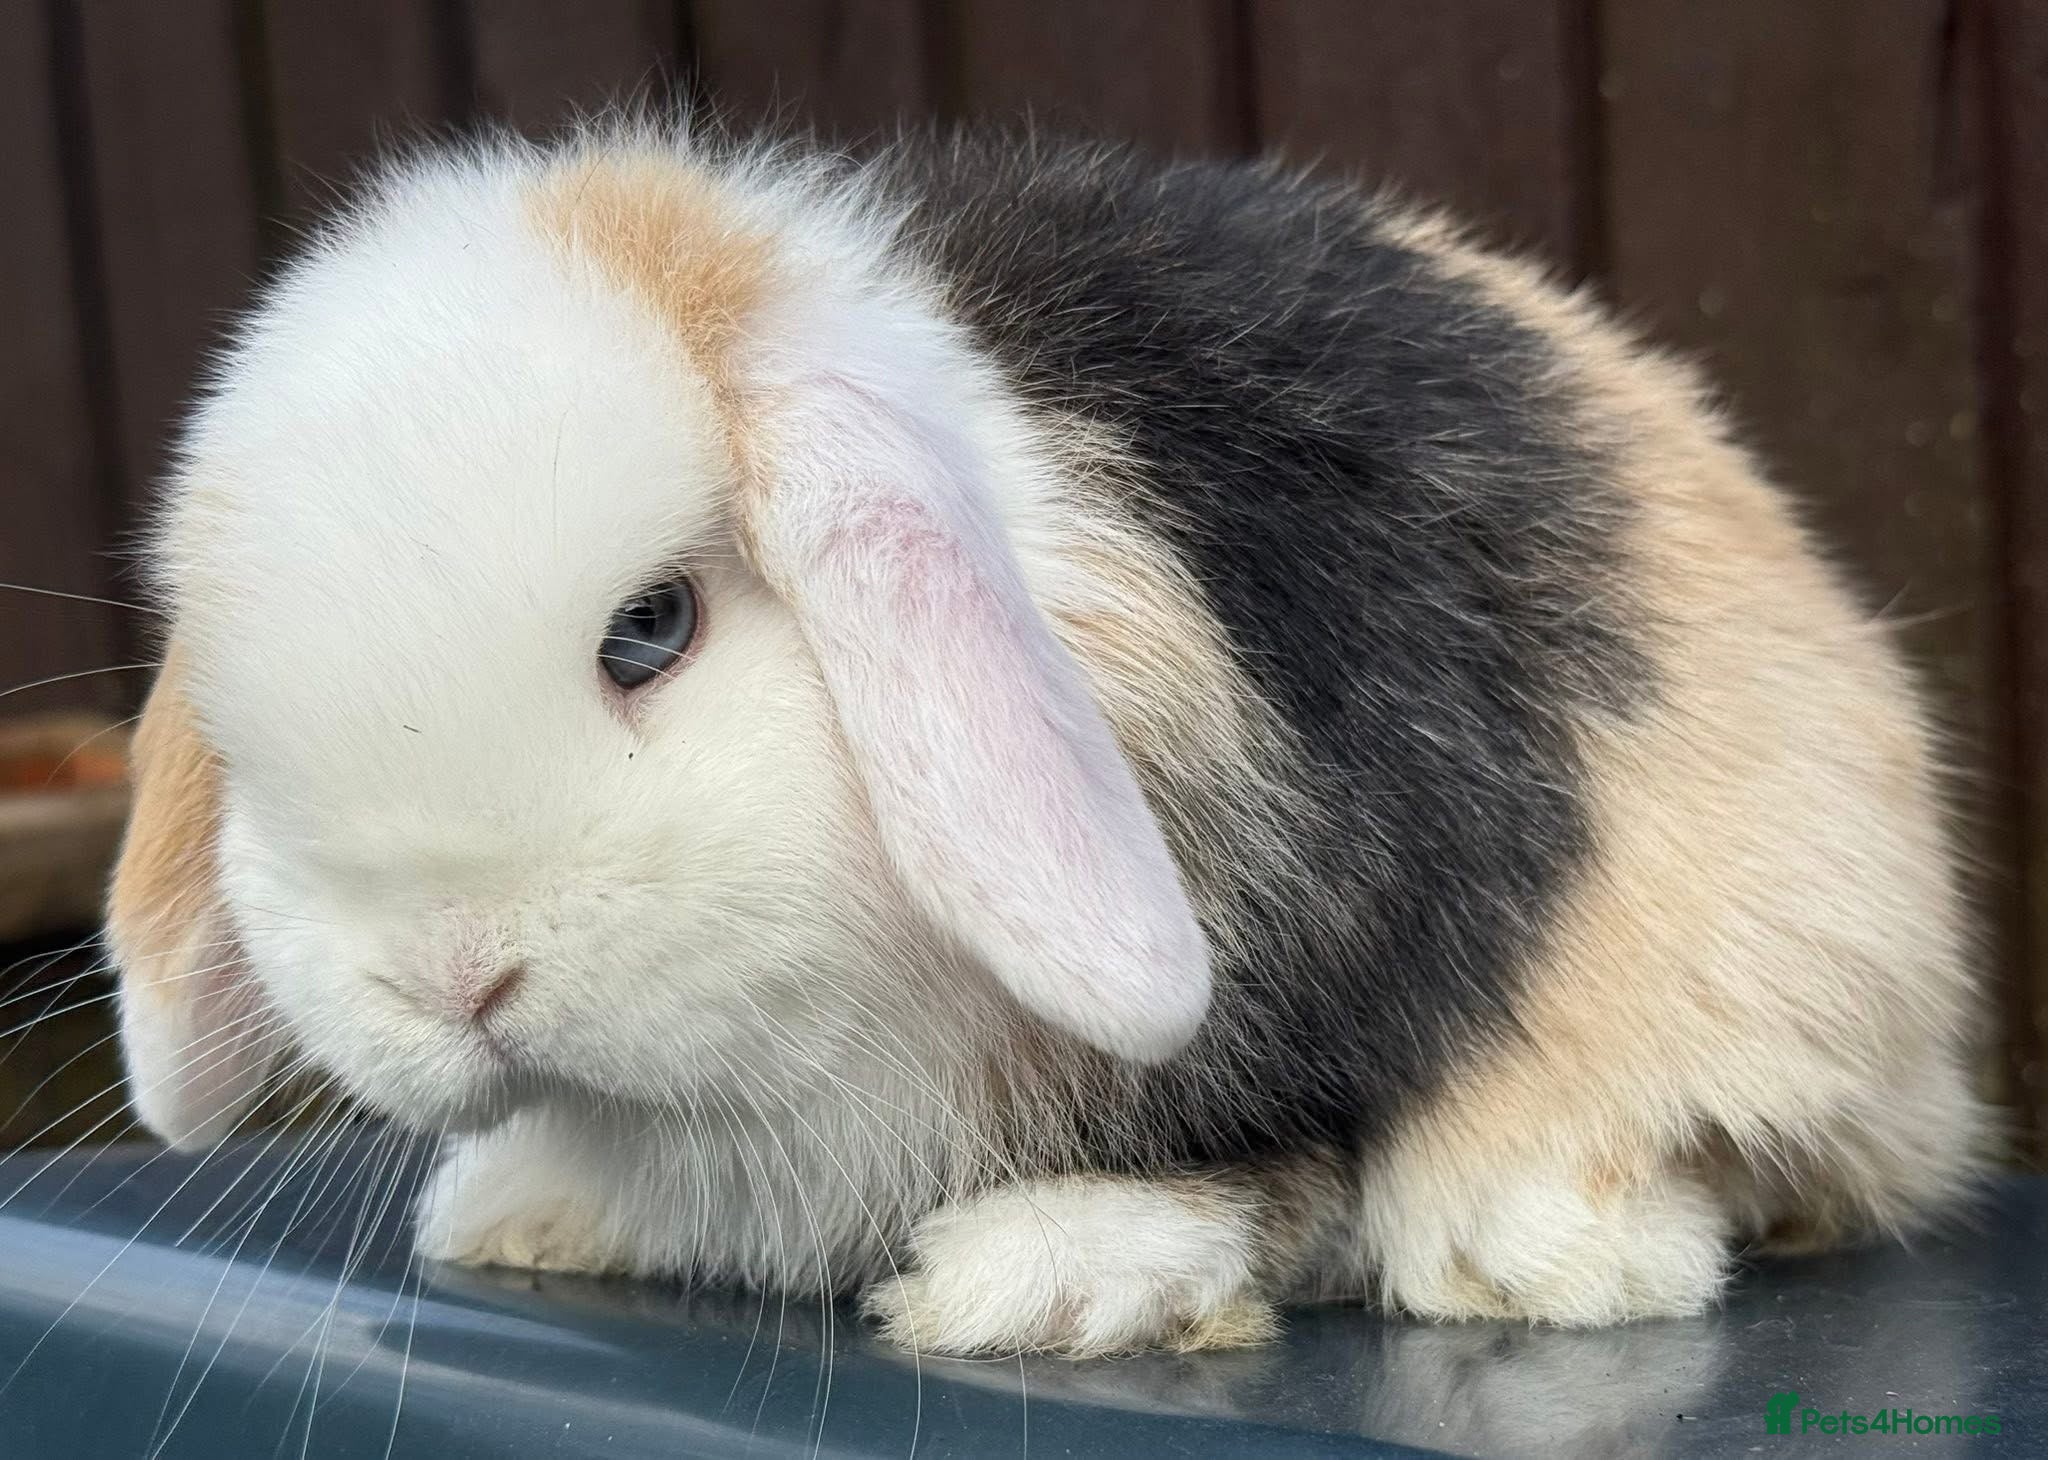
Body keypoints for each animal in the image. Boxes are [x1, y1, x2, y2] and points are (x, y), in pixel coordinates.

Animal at [106, 121, 1991, 1358]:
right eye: (237, 733)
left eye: (653, 628)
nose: (455, 977)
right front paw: (517, 1207)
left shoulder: (1306, 960)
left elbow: (1276, 1158)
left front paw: (1036, 1272)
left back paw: (1511, 1246)